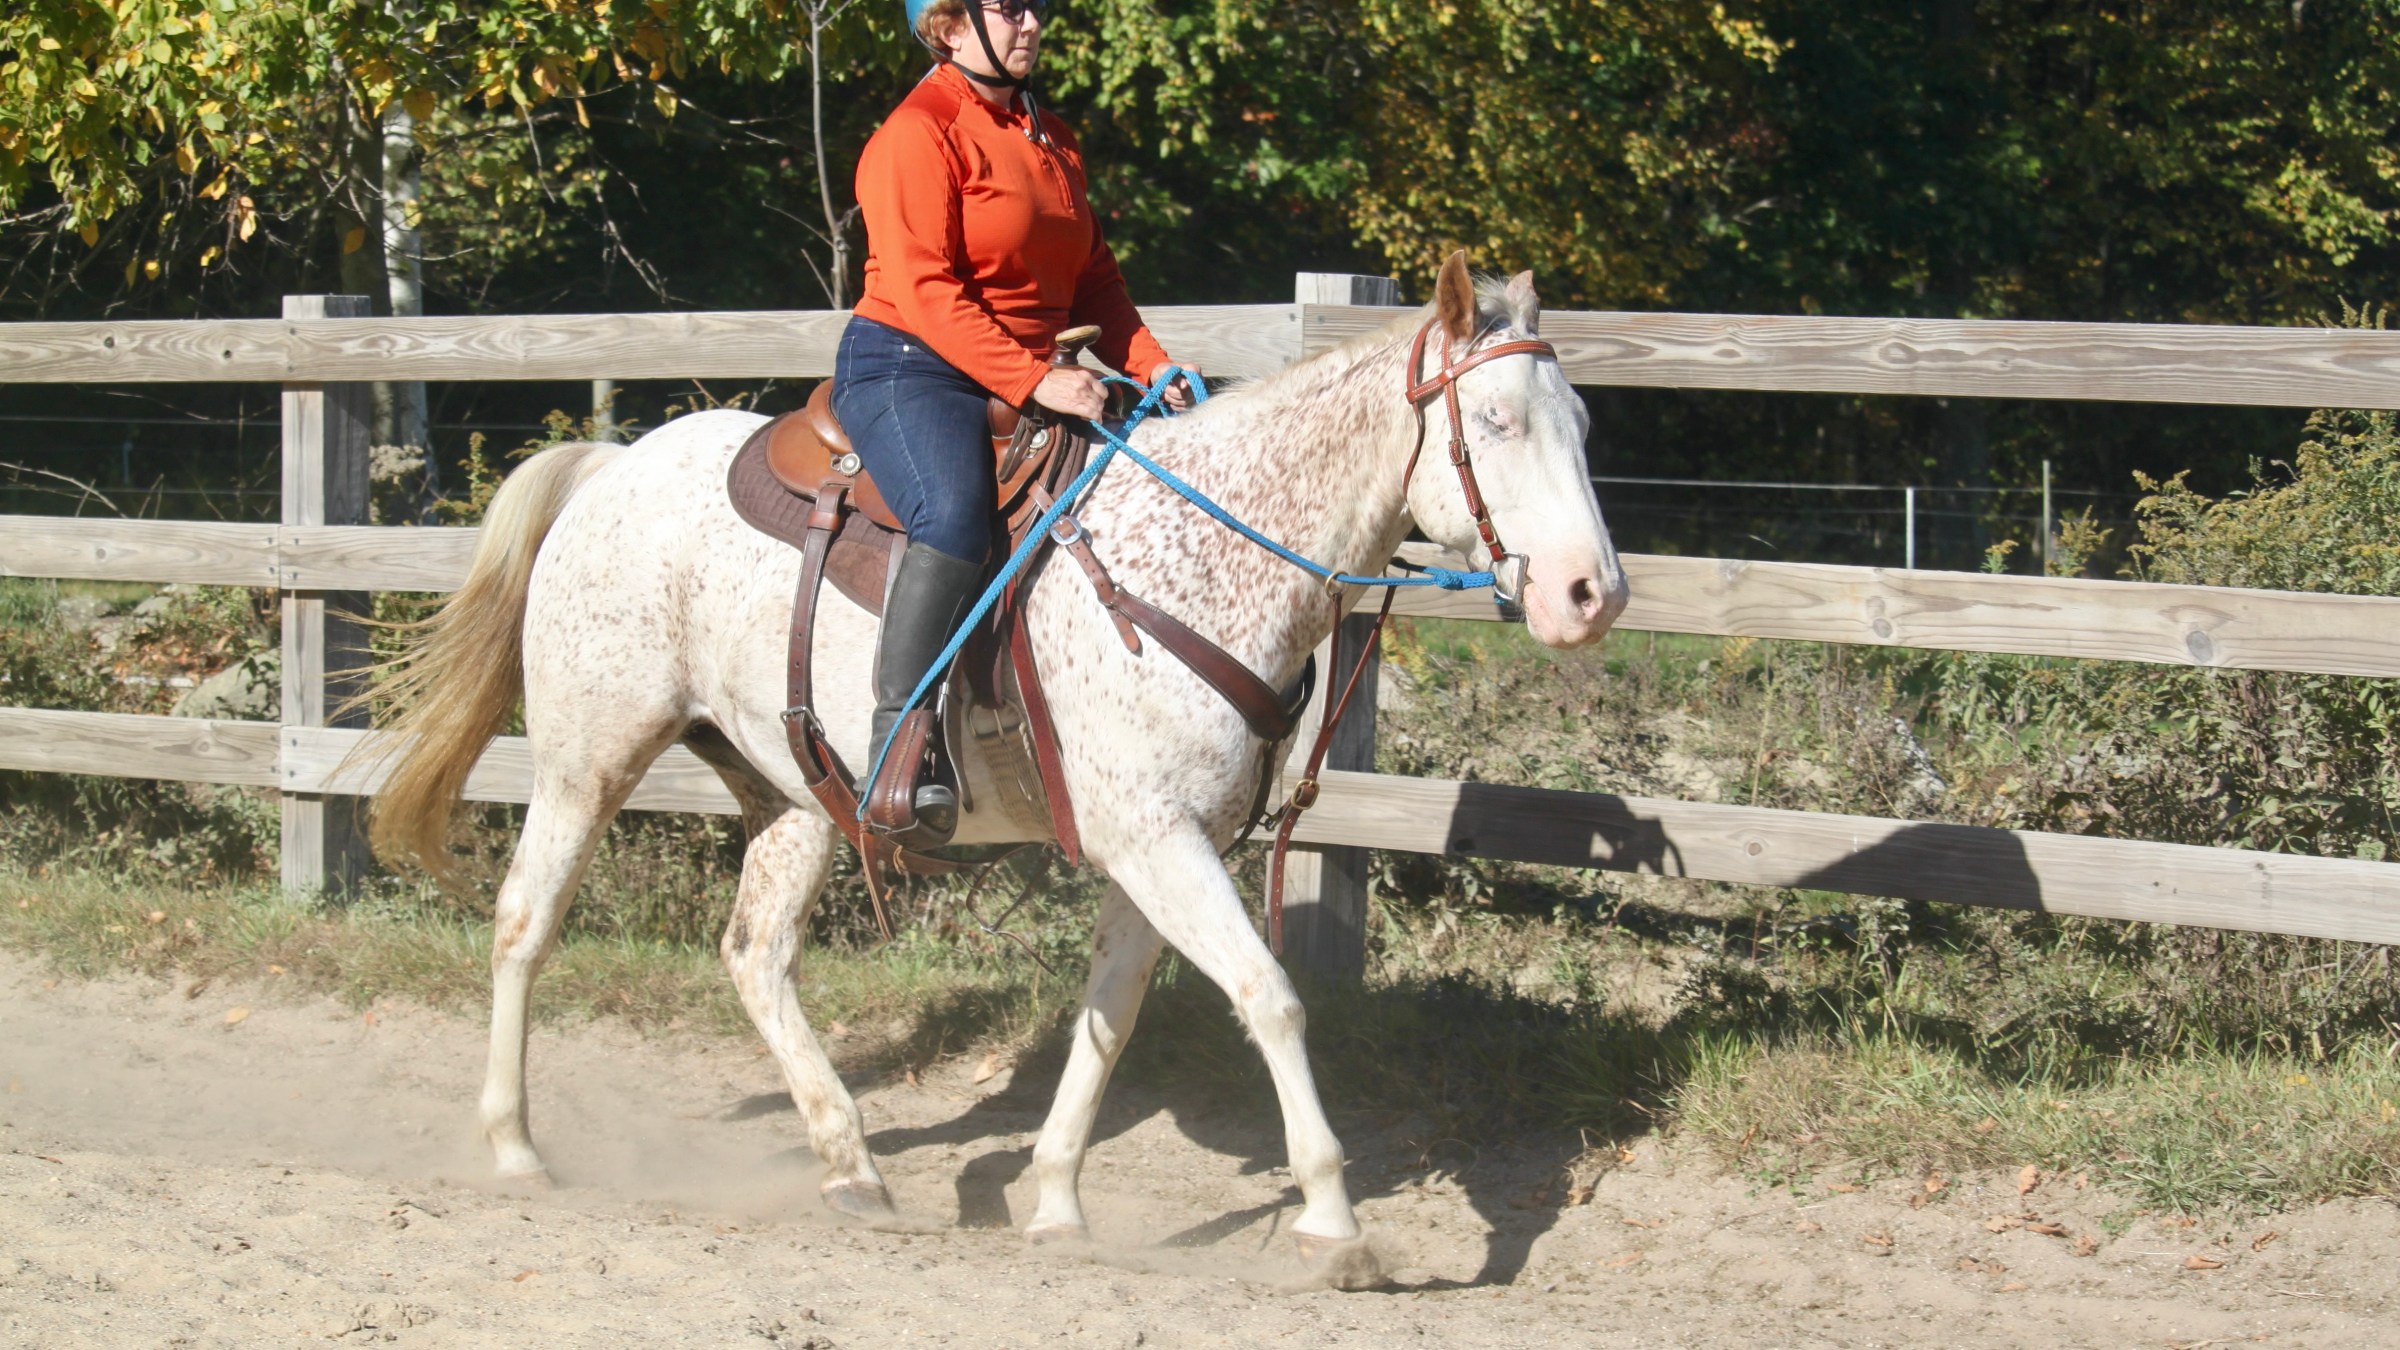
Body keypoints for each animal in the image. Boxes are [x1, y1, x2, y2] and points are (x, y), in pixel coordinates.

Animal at [359, 254, 1627, 1279]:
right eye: (1497, 421)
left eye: (1579, 422)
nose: (1591, 594)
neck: (1199, 555)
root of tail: (610, 466)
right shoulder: (1160, 843)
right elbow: (1268, 998)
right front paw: (1333, 1222)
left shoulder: (1154, 850)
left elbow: (1107, 1020)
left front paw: (1056, 1201)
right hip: (590, 757)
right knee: (525, 921)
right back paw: (515, 1145)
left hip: (794, 796)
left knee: (756, 957)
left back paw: (850, 1162)